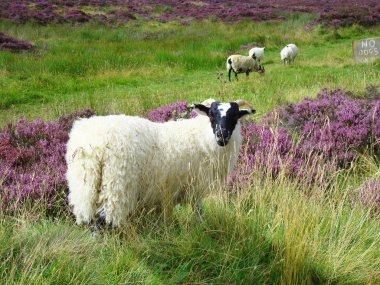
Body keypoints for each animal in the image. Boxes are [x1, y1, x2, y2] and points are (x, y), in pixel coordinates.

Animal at [66, 98, 255, 226]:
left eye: (235, 117)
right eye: (211, 116)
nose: (222, 135)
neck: (201, 137)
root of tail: (92, 145)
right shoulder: (195, 185)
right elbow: (198, 211)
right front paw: (200, 228)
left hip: (85, 186)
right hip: (116, 185)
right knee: (103, 220)